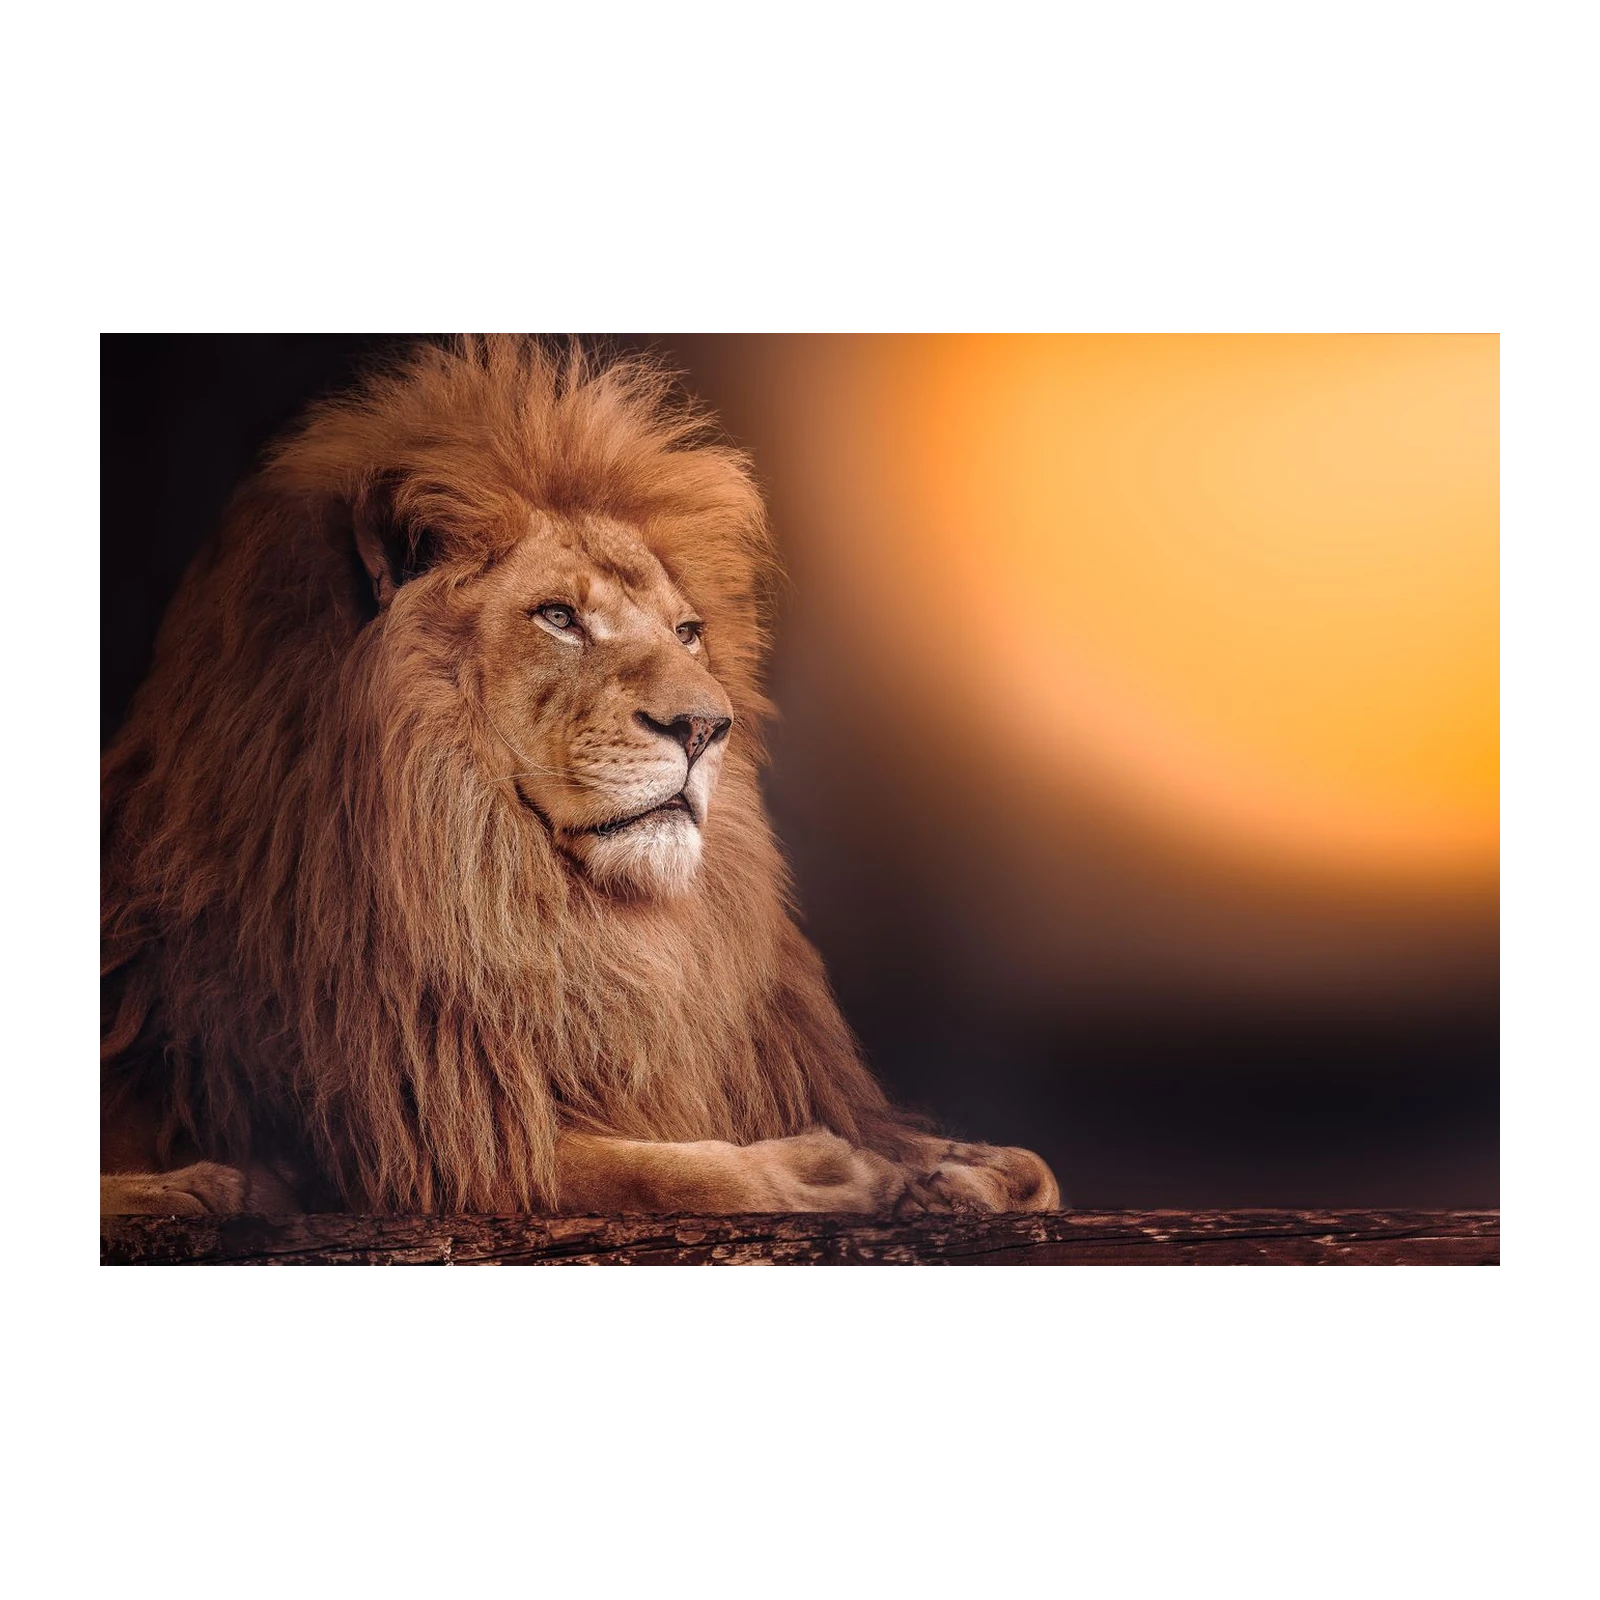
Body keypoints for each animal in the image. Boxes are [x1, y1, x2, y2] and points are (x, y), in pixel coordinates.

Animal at [97, 333, 1059, 1219]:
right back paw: (202, 1188)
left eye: (687, 633)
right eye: (559, 617)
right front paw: (828, 1173)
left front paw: (969, 1168)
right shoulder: (410, 1133)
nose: (705, 727)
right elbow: (649, 1170)